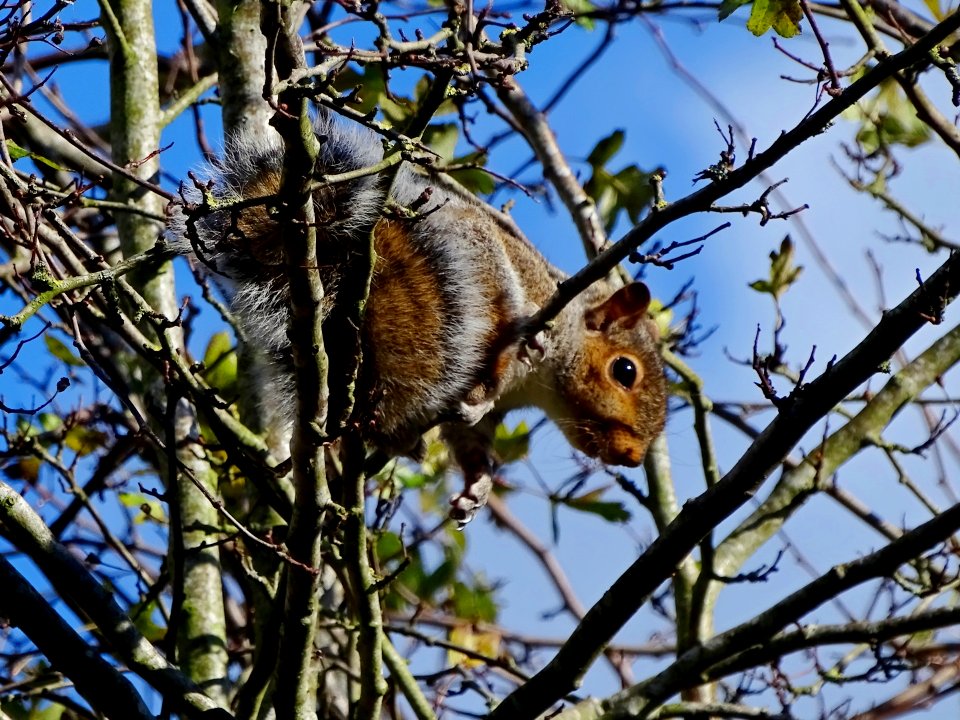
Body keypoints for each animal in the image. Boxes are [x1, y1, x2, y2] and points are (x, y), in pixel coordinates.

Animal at [172, 115, 664, 524]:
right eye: (625, 371)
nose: (632, 457)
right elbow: (499, 374)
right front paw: (504, 373)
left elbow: (473, 444)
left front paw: (477, 486)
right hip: (480, 257)